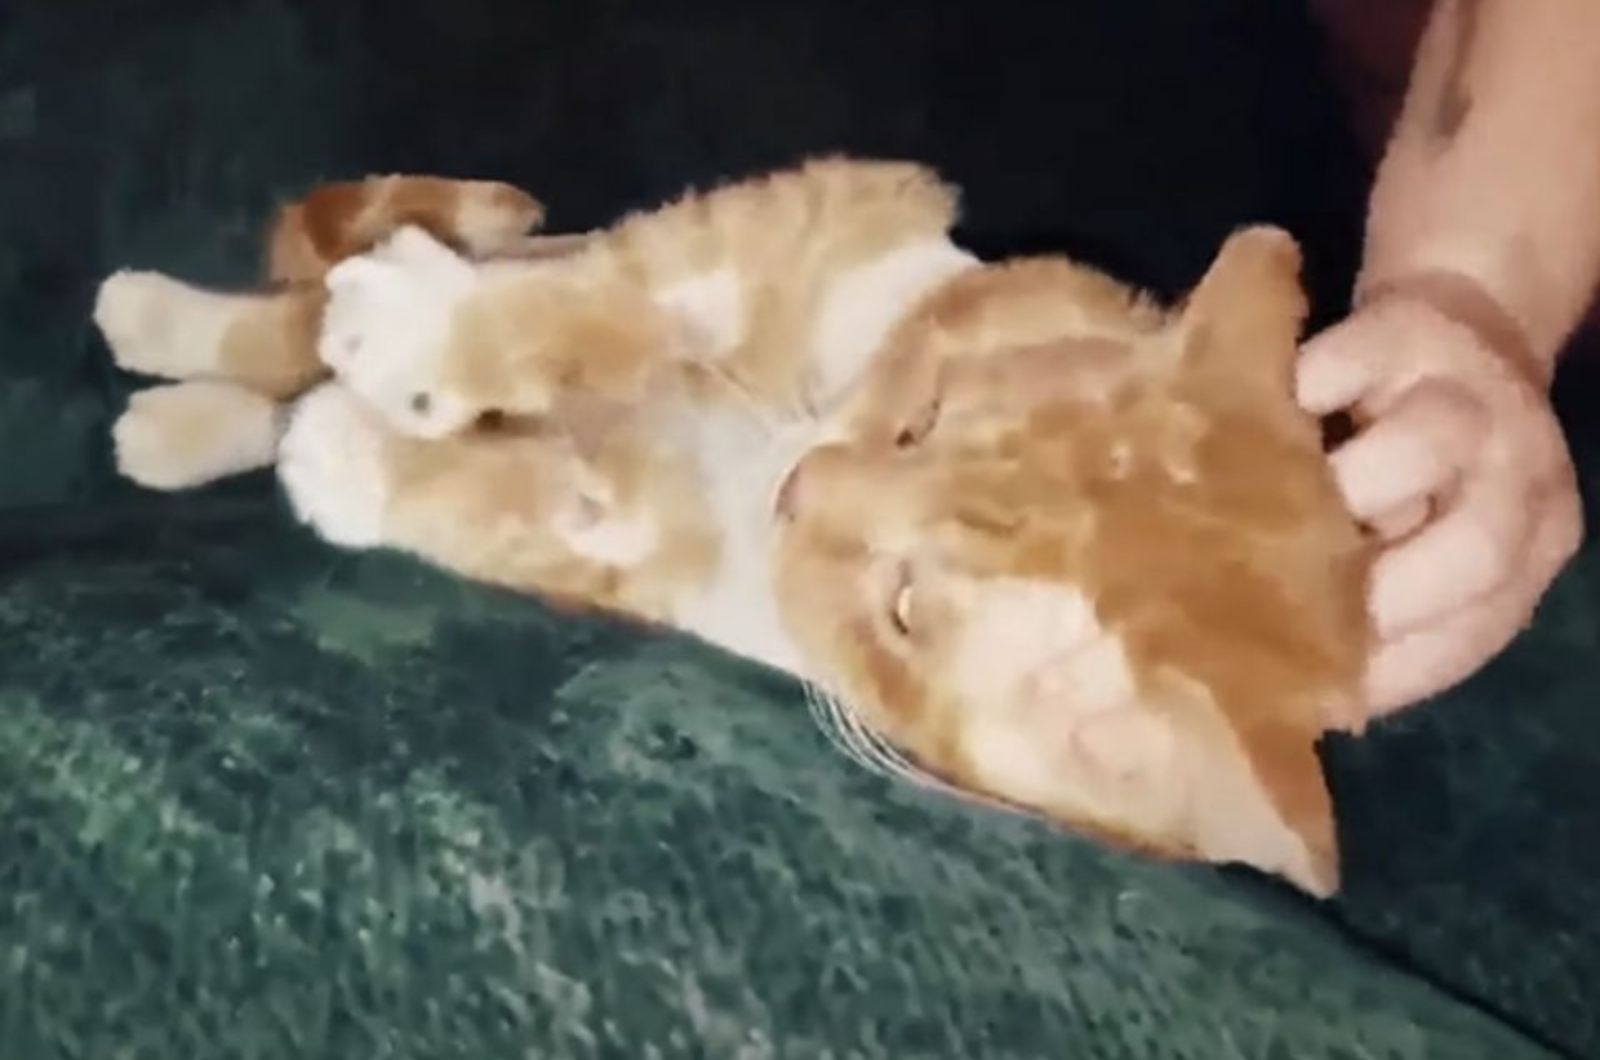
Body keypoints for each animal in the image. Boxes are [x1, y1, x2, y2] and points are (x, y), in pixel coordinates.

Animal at [100, 161, 1369, 903]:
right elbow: (614, 298)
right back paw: (170, 332)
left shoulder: (671, 550)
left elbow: (528, 516)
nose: (796, 491)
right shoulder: (810, 221)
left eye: (906, 611)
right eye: (925, 419)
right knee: (298, 322)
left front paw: (355, 460)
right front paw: (427, 330)